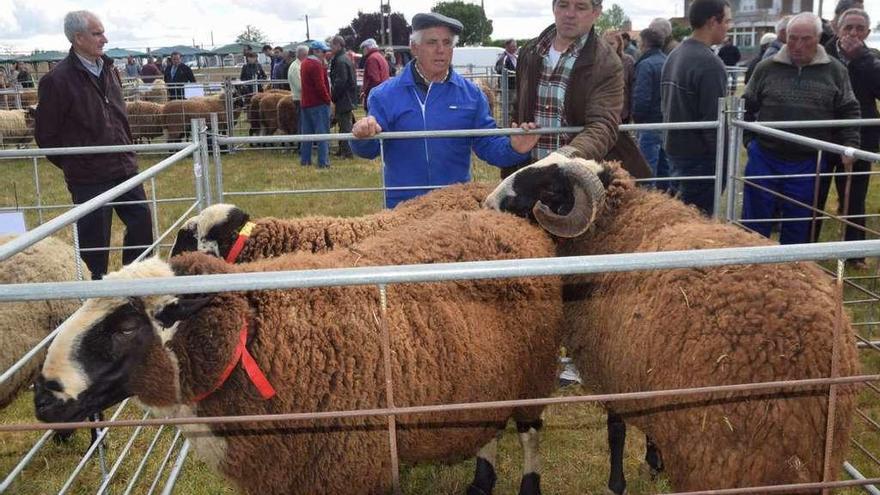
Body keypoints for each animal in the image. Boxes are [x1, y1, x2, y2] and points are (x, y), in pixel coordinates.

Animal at [36, 211, 564, 495]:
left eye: (127, 325)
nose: (42, 397)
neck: (254, 339)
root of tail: (511, 221)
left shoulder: (351, 467)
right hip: (487, 376)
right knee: (487, 425)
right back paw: (481, 479)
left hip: (534, 371)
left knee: (530, 434)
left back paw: (528, 483)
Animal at [482, 160, 860, 495]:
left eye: (546, 189)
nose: (486, 204)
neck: (615, 226)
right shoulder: (644, 373)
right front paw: (654, 461)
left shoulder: (613, 369)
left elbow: (616, 431)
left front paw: (616, 484)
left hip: (720, 458)